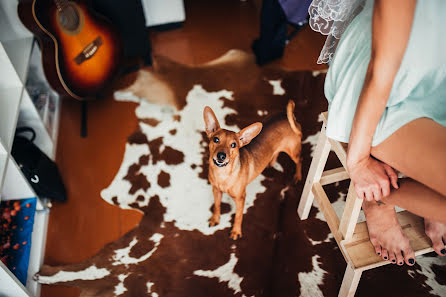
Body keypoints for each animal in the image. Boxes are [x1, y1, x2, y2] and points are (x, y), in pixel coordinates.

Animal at [203, 100, 304, 239]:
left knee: (299, 161)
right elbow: (217, 206)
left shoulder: (241, 199)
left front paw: (236, 231)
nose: (221, 156)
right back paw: (270, 162)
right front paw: (215, 219)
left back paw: (298, 176)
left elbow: (238, 216)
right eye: (216, 139)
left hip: (293, 152)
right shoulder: (216, 191)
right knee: (276, 152)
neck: (223, 175)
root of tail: (289, 118)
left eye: (233, 145)